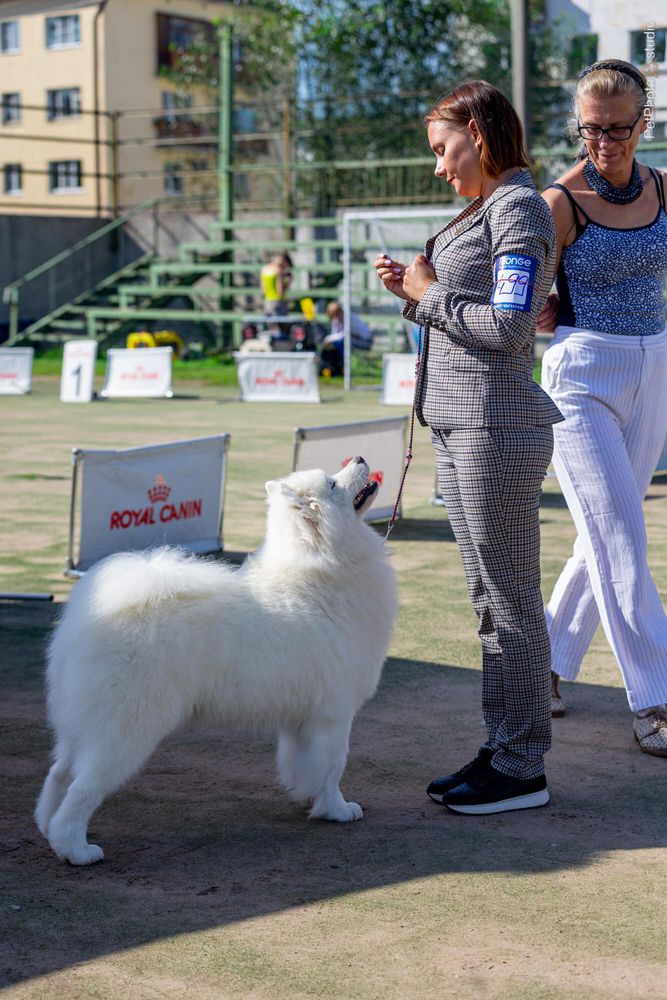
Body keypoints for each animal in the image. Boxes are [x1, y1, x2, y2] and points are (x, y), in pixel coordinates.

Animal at [35, 458, 396, 864]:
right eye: (333, 484)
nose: (360, 459)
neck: (323, 573)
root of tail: (93, 616)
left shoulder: (303, 717)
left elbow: (305, 764)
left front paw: (309, 798)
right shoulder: (335, 712)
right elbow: (335, 764)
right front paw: (337, 809)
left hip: (81, 722)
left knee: (60, 774)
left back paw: (47, 829)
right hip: (126, 728)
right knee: (82, 788)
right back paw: (76, 848)